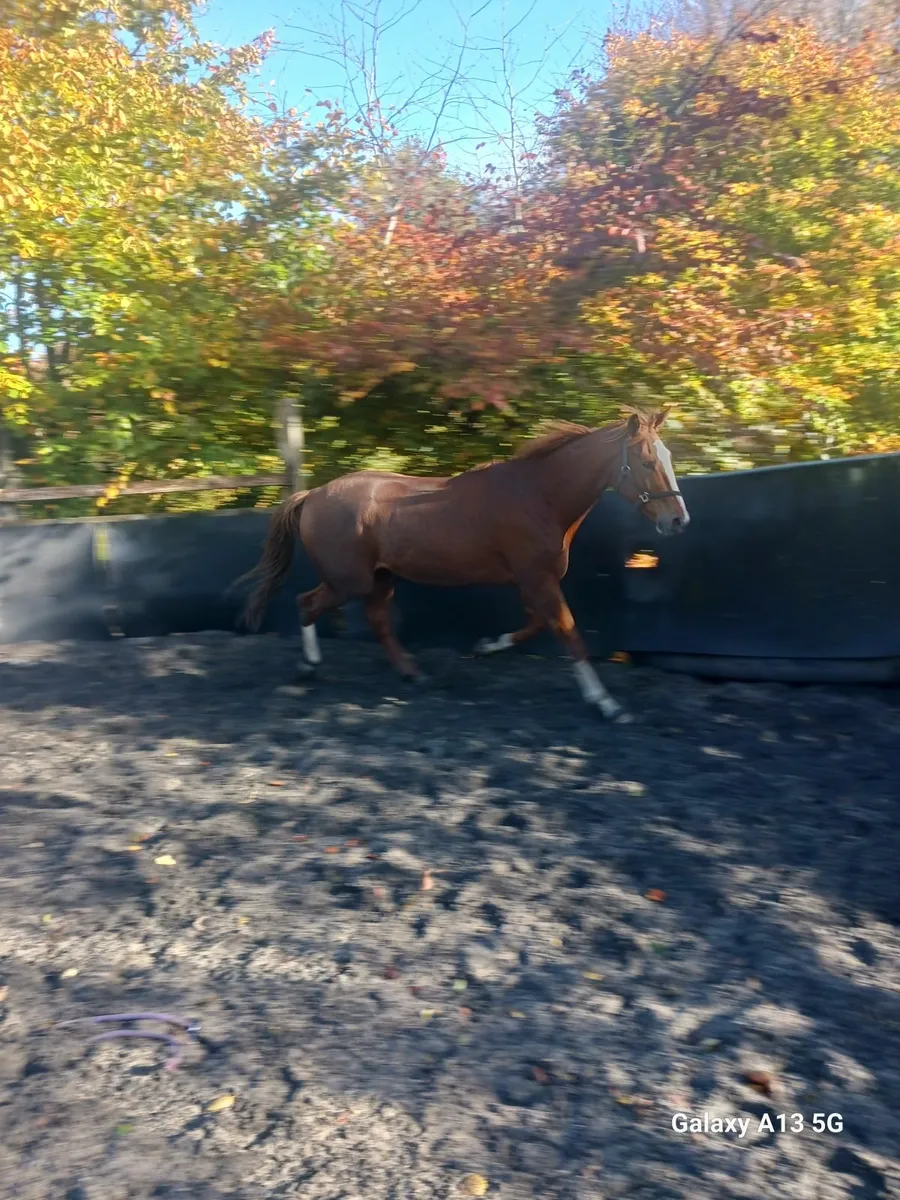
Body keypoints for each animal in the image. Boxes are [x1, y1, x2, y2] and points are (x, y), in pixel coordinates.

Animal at [236, 406, 689, 723]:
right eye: (647, 462)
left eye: (667, 456)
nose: (678, 521)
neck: (538, 496)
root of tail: (311, 495)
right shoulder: (537, 579)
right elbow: (569, 633)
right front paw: (607, 704)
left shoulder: (532, 580)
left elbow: (536, 625)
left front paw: (486, 646)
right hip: (351, 580)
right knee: (306, 604)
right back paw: (308, 667)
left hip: (381, 576)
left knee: (376, 619)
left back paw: (412, 673)